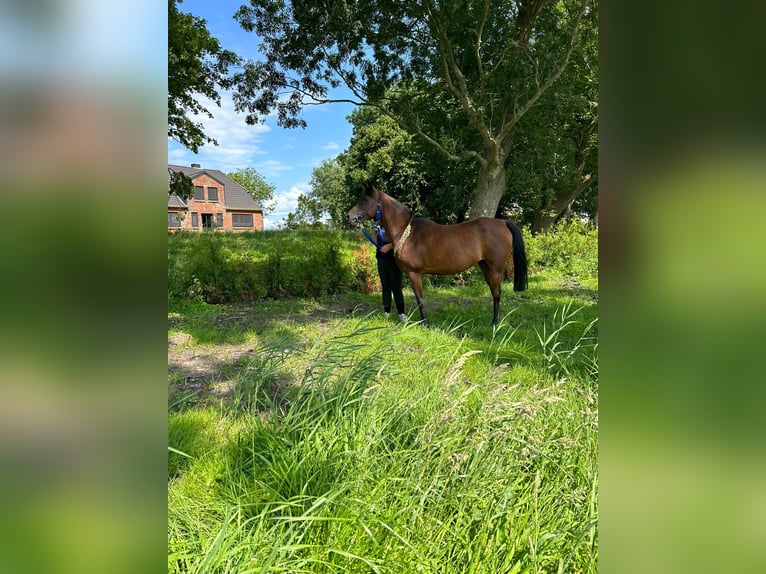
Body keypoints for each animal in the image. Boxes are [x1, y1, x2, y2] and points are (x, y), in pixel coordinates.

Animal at [348, 184, 528, 328]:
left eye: (365, 199)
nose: (349, 216)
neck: (407, 232)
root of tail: (503, 222)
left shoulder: (414, 274)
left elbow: (420, 300)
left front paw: (425, 324)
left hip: (496, 269)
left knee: (497, 293)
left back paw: (495, 323)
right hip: (485, 266)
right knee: (493, 292)